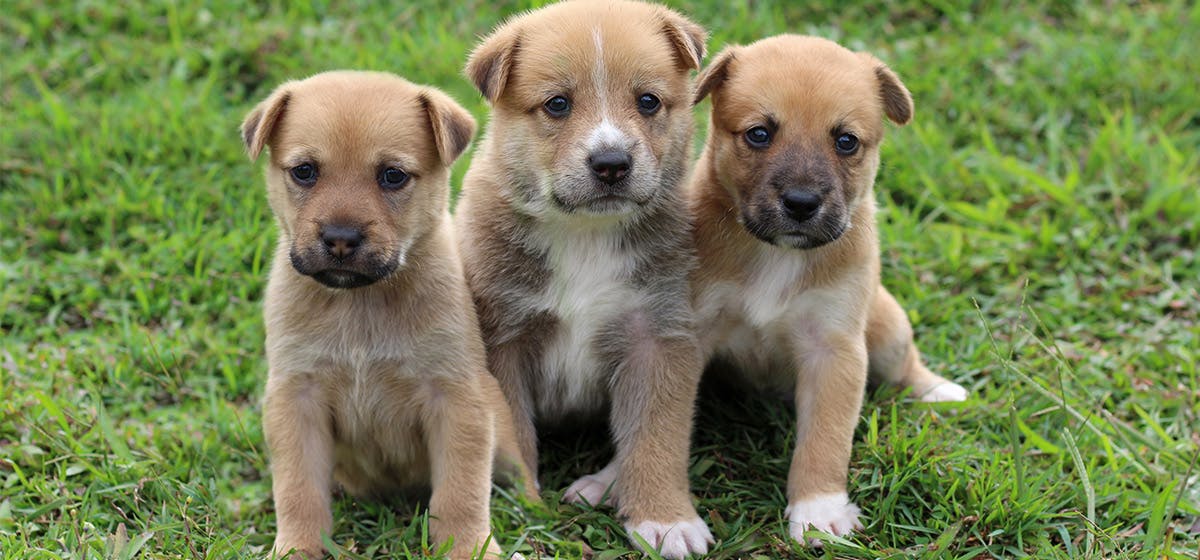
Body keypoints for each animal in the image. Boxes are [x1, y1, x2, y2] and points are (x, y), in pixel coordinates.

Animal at [238, 70, 530, 560]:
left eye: (392, 176)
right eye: (304, 171)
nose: (340, 238)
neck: (361, 303)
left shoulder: (455, 397)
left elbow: (461, 490)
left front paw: (470, 547)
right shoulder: (297, 396)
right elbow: (298, 488)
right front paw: (297, 547)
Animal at [451, 2, 710, 558]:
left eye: (648, 101)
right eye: (557, 105)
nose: (611, 164)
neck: (585, 235)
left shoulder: (658, 337)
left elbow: (656, 435)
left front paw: (665, 519)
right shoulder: (503, 340)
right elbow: (513, 431)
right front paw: (522, 505)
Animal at [691, 34, 969, 544]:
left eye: (846, 142)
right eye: (759, 134)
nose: (801, 203)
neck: (777, 255)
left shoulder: (834, 349)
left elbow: (825, 438)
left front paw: (818, 510)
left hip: (887, 330)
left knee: (906, 366)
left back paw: (938, 390)